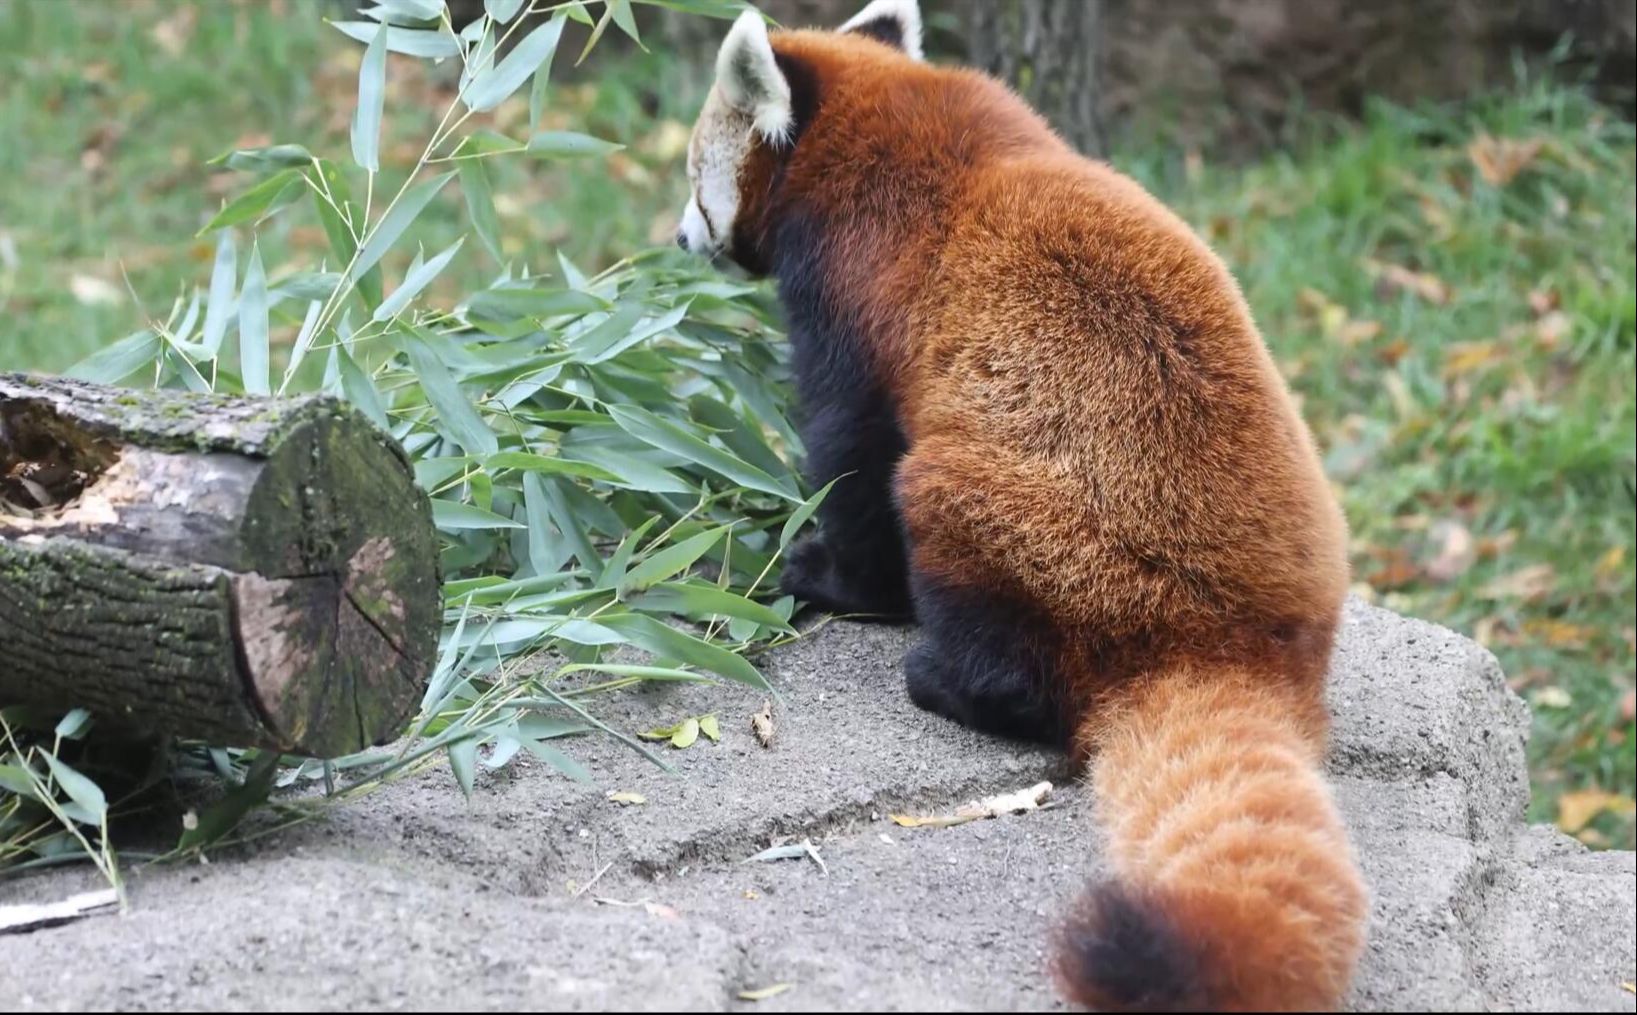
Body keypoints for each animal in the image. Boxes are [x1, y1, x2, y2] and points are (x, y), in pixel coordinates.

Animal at [674, 1, 1368, 1008]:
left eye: (695, 179)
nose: (678, 240)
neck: (879, 121)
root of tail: (1236, 646)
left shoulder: (857, 289)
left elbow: (854, 451)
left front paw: (824, 573)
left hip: (1027, 535)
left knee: (949, 529)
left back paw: (949, 679)